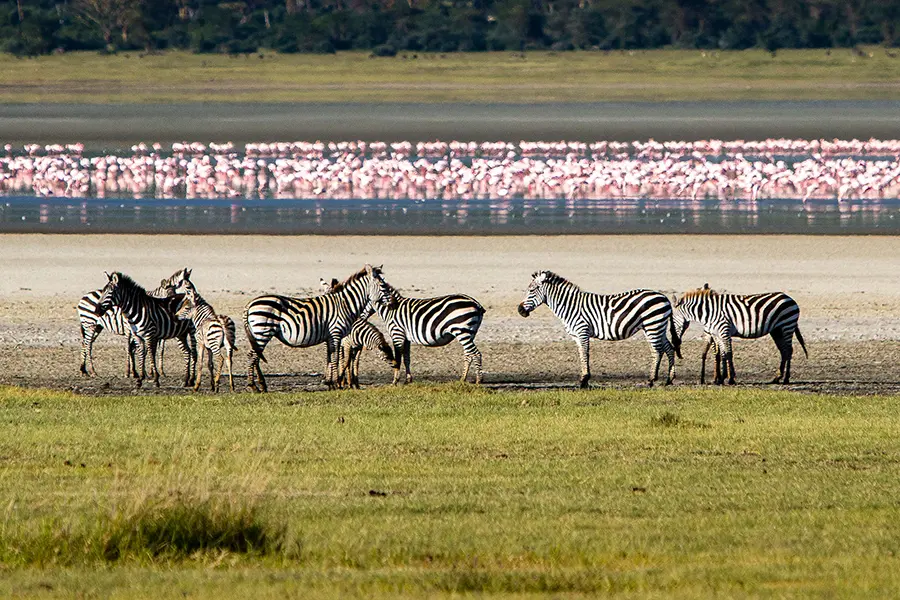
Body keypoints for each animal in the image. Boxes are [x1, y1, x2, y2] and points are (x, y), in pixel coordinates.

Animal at [244, 264, 388, 392]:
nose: (391, 302)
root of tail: (250, 304)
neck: (344, 304)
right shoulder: (336, 333)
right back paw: (254, 386)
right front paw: (337, 384)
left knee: (256, 356)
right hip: (262, 331)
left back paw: (261, 385)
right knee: (252, 355)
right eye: (383, 286)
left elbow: (329, 357)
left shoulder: (330, 337)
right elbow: (335, 357)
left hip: (260, 333)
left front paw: (330, 383)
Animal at [516, 270, 680, 390]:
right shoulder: (576, 336)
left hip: (653, 325)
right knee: (669, 348)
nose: (520, 311)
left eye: (531, 290)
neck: (569, 306)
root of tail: (664, 297)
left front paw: (584, 380)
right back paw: (669, 379)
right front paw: (584, 379)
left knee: (657, 350)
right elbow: (581, 354)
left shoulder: (582, 331)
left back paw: (651, 380)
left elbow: (585, 354)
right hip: (656, 326)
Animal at [668, 284, 808, 384]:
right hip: (777, 330)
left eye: (672, 321)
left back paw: (786, 379)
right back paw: (777, 378)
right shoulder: (718, 334)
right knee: (784, 351)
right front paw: (722, 378)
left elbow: (729, 354)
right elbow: (723, 354)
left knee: (789, 350)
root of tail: (789, 298)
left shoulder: (724, 330)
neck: (710, 312)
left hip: (787, 326)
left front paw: (730, 379)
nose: (675, 341)